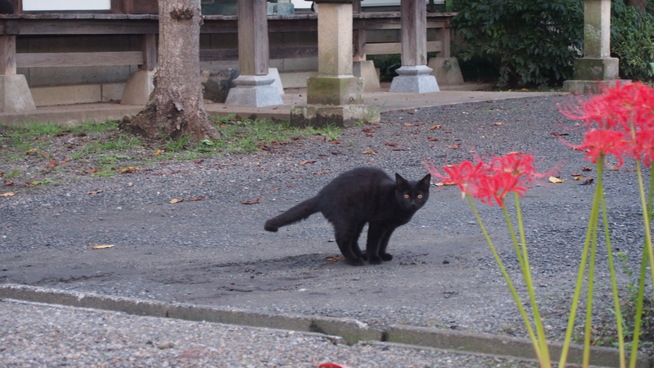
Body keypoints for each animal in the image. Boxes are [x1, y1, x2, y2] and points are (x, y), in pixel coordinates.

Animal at [264, 167, 434, 264]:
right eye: (406, 195)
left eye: (419, 196)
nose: (413, 203)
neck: (395, 201)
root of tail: (322, 196)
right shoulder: (377, 224)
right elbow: (373, 242)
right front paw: (374, 258)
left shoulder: (389, 228)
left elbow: (384, 242)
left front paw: (383, 255)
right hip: (347, 219)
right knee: (343, 240)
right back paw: (355, 260)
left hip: (358, 220)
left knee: (353, 240)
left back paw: (360, 256)